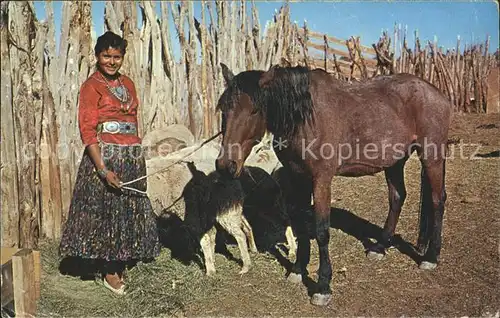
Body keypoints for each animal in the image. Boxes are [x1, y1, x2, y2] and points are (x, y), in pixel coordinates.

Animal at [215, 64, 454, 306]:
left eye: (255, 110)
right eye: (223, 109)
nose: (226, 165)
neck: (305, 119)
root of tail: (438, 94)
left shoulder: (321, 179)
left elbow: (321, 230)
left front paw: (323, 287)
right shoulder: (297, 178)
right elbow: (301, 225)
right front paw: (298, 270)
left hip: (431, 156)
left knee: (437, 200)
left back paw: (431, 257)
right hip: (395, 161)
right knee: (397, 197)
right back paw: (380, 247)